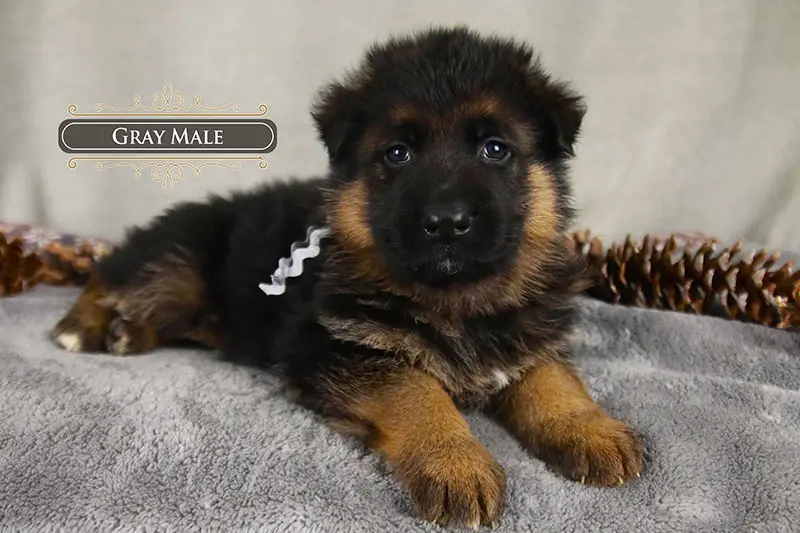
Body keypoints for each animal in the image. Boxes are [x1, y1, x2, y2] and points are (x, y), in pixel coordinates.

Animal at [51, 26, 644, 528]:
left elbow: (554, 380)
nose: (446, 221)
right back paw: (82, 327)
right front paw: (455, 463)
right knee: (108, 275)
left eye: (495, 149)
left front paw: (591, 430)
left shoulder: (527, 336)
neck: (455, 299)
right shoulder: (334, 347)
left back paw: (127, 332)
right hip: (179, 265)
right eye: (397, 153)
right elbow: (417, 388)